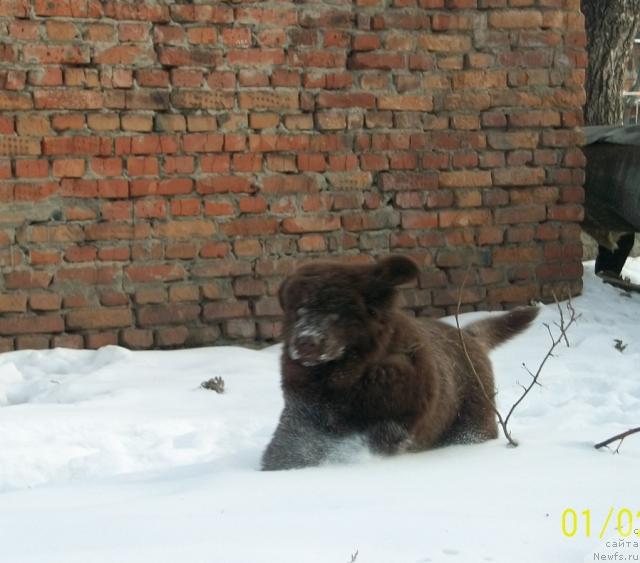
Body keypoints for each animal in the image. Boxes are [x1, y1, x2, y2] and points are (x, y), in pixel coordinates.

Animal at [260, 256, 536, 472]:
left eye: (336, 310)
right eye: (298, 310)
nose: (305, 341)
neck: (347, 377)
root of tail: (469, 335)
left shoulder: (398, 416)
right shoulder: (301, 412)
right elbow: (288, 446)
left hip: (471, 421)